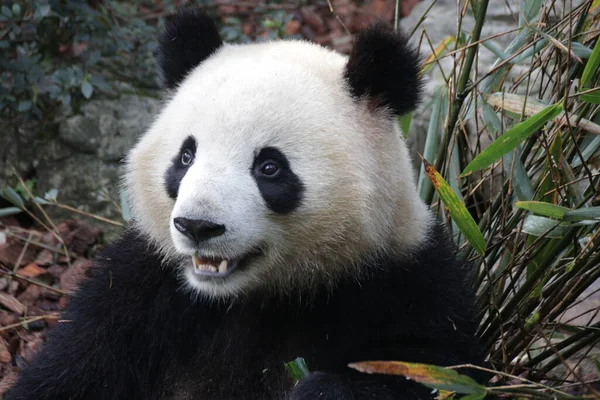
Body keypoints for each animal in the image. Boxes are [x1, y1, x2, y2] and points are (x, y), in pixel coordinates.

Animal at [5, 9, 482, 400]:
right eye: (186, 156)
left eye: (269, 167)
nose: (198, 226)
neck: (251, 297)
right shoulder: (138, 293)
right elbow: (70, 370)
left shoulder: (402, 286)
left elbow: (426, 371)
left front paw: (318, 390)